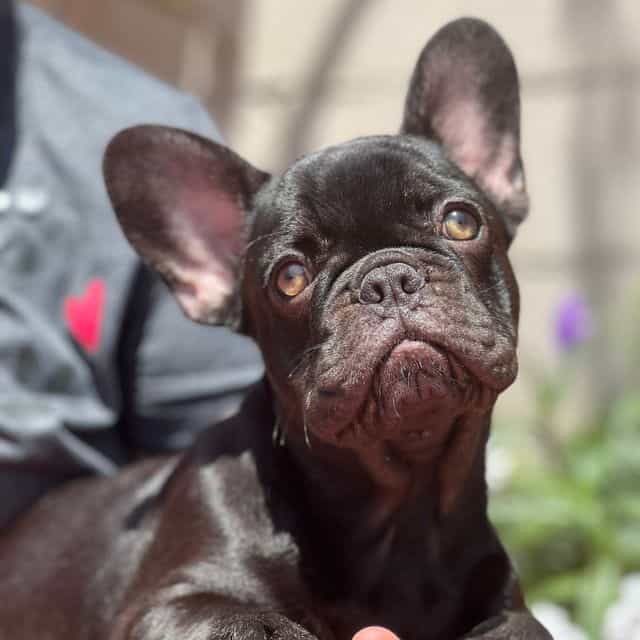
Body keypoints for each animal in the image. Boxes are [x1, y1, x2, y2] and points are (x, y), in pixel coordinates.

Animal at [0, 18, 552, 640]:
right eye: (290, 278)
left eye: (461, 221)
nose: (387, 277)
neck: (401, 505)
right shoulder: (167, 603)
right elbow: (244, 621)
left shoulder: (506, 601)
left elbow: (523, 627)